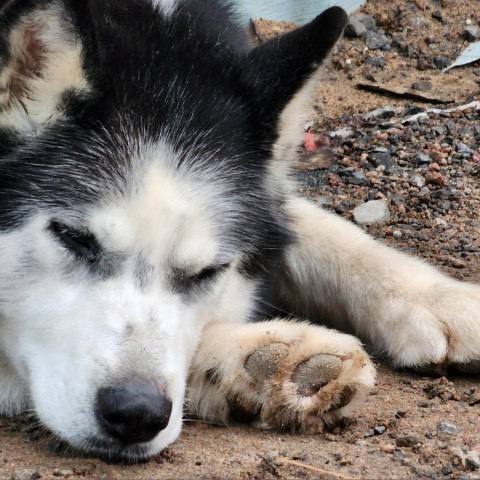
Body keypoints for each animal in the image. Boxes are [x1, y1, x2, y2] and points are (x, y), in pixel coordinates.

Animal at [0, 0, 478, 462]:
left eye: (208, 272)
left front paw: (439, 297)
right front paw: (259, 356)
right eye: (73, 238)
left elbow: (315, 228)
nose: (136, 413)